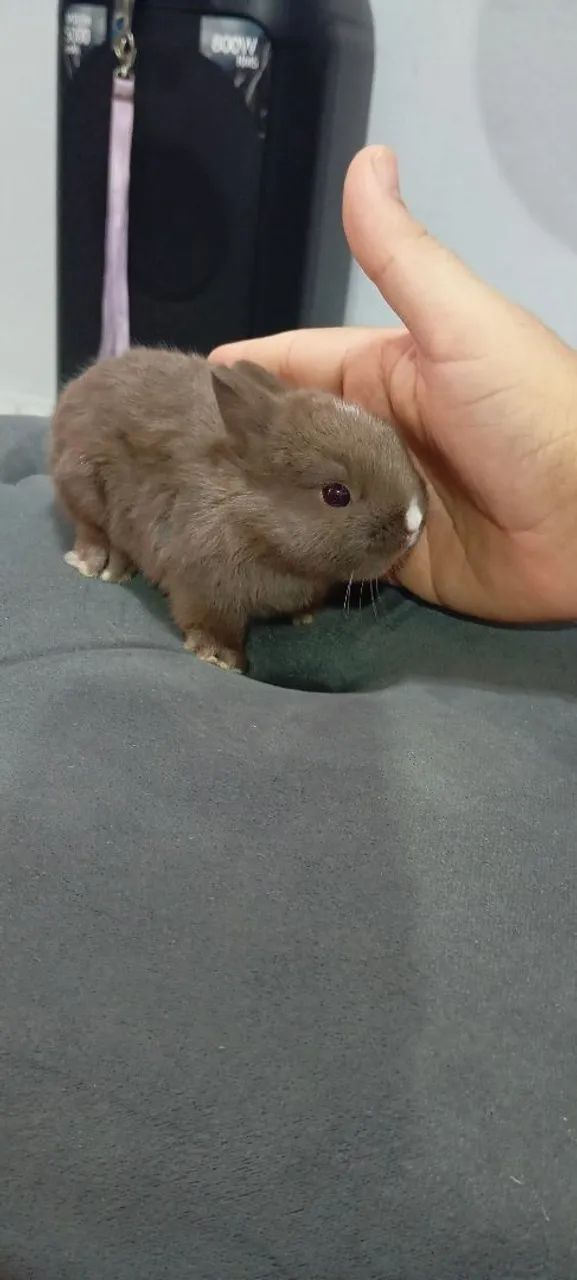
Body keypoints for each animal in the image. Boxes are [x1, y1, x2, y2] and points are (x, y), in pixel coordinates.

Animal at [51, 348, 426, 672]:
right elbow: (211, 620)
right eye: (336, 494)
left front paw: (304, 616)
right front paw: (220, 657)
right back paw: (103, 566)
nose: (413, 524)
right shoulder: (205, 582)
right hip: (83, 486)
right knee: (91, 529)